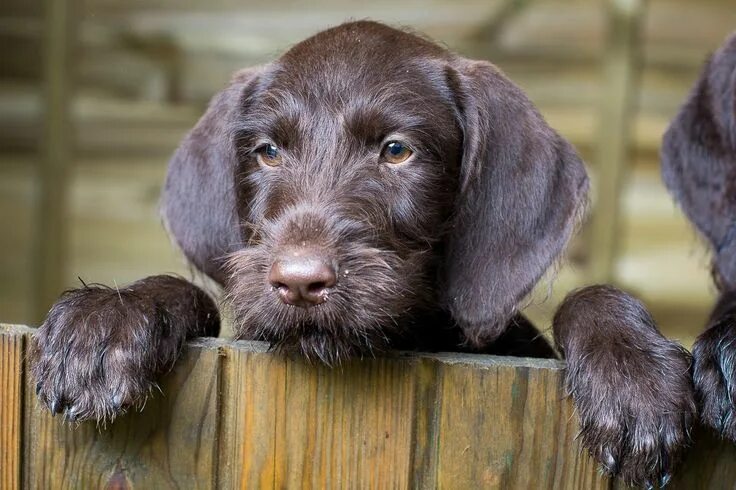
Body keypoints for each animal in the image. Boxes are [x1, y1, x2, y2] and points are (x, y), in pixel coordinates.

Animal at [34, 21, 696, 484]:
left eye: (397, 150)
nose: (300, 282)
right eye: (267, 151)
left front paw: (631, 372)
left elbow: (590, 296)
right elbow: (192, 296)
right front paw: (112, 318)